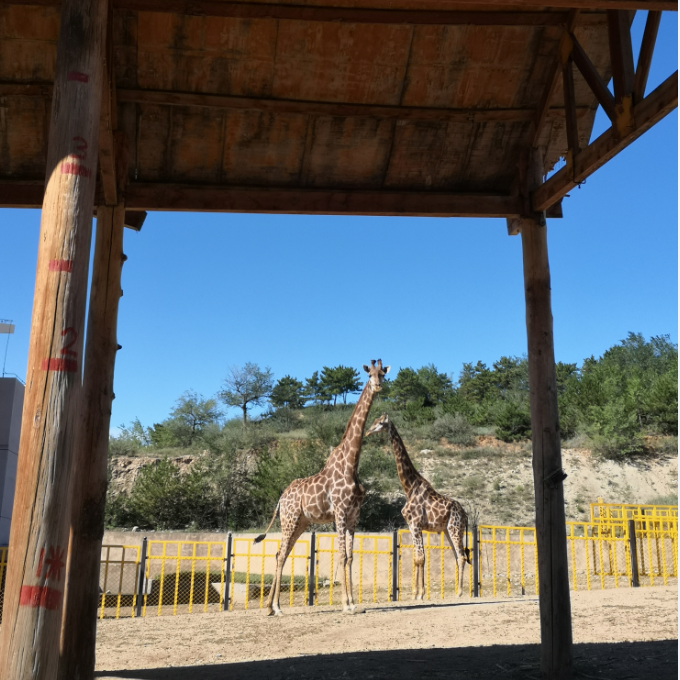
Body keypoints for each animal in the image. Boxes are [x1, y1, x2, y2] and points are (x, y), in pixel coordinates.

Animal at [255, 358, 394, 612]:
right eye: (370, 374)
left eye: (383, 374)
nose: (378, 386)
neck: (351, 462)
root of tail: (281, 498)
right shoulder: (339, 511)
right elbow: (341, 556)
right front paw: (346, 605)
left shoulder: (354, 515)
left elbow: (350, 556)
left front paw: (353, 603)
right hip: (289, 519)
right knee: (280, 553)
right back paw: (276, 608)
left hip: (301, 522)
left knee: (282, 552)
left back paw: (271, 607)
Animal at [366, 412, 472, 596]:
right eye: (373, 421)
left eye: (380, 423)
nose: (367, 432)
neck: (409, 487)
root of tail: (465, 515)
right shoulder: (411, 525)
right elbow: (416, 558)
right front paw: (415, 593)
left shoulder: (416, 524)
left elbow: (421, 558)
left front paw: (421, 593)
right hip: (447, 530)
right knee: (457, 556)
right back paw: (455, 591)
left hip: (454, 528)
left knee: (462, 556)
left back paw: (459, 592)